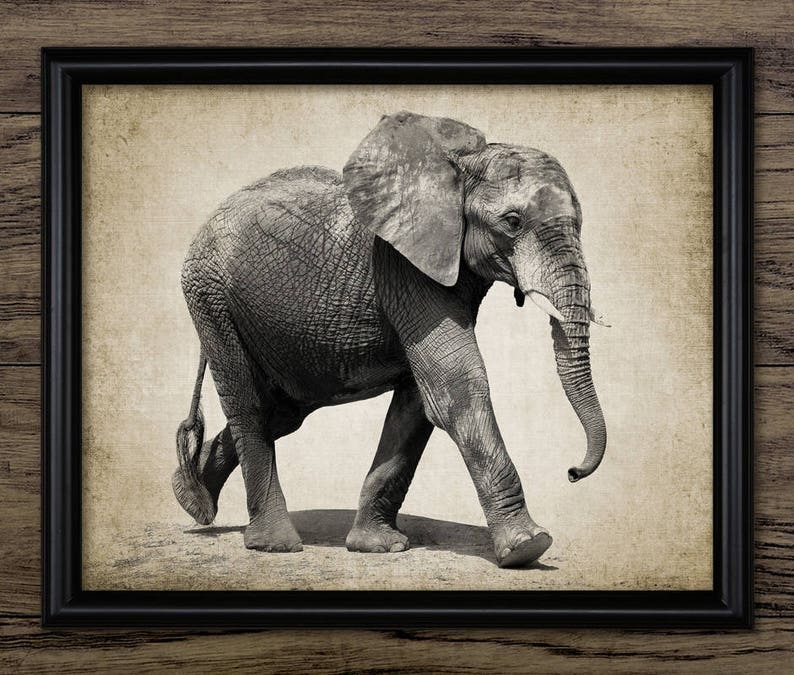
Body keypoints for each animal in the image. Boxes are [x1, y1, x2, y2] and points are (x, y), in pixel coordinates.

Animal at [172, 111, 607, 568]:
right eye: (512, 222)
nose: (572, 472)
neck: (460, 166)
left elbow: (419, 402)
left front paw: (376, 547)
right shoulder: (401, 267)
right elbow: (456, 386)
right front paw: (528, 548)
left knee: (284, 412)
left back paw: (191, 499)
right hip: (211, 298)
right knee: (252, 406)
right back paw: (274, 543)